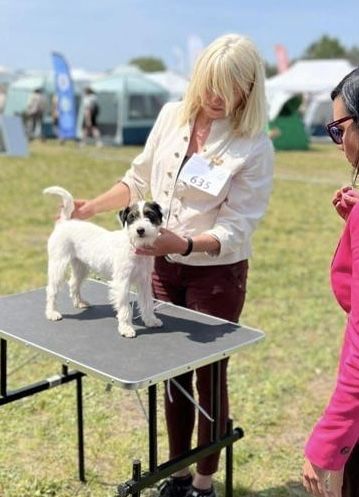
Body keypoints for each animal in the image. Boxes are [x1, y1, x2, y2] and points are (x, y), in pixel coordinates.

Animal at [43, 186, 165, 338]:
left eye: (150, 215)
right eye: (132, 217)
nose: (140, 230)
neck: (134, 246)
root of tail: (64, 223)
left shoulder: (144, 282)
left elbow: (147, 302)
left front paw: (150, 320)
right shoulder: (122, 283)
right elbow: (125, 308)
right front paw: (126, 328)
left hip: (81, 267)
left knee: (73, 283)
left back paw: (79, 302)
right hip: (58, 265)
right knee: (52, 290)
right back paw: (52, 312)